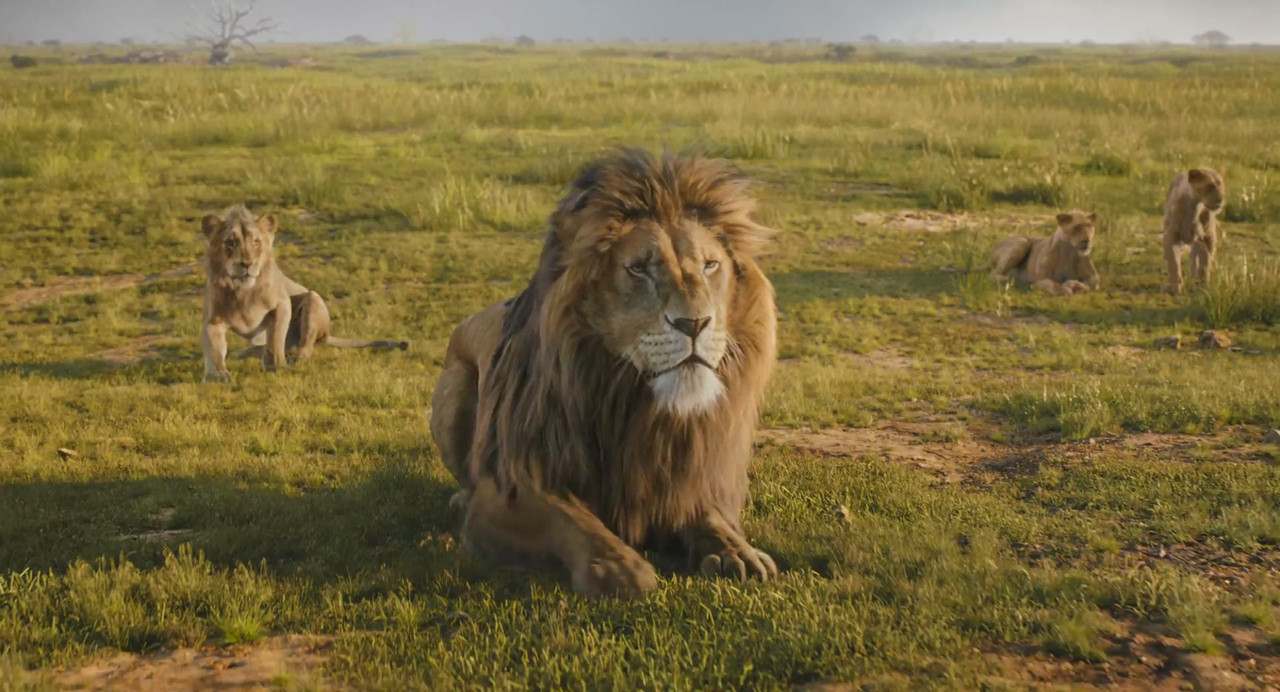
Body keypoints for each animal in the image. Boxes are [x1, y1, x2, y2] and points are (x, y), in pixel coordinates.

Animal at [200, 204, 408, 383]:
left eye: (256, 242)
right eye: (230, 243)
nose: (246, 264)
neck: (242, 291)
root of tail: (327, 334)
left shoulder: (282, 304)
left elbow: (275, 338)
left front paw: (277, 366)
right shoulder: (212, 320)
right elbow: (214, 348)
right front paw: (217, 375)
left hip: (313, 299)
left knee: (305, 345)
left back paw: (293, 358)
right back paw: (243, 354)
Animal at [429, 149, 779, 599]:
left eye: (711, 265)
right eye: (638, 269)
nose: (695, 324)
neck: (636, 404)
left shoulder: (686, 475)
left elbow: (709, 516)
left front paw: (739, 552)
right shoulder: (510, 486)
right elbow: (572, 520)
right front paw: (618, 567)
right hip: (453, 393)